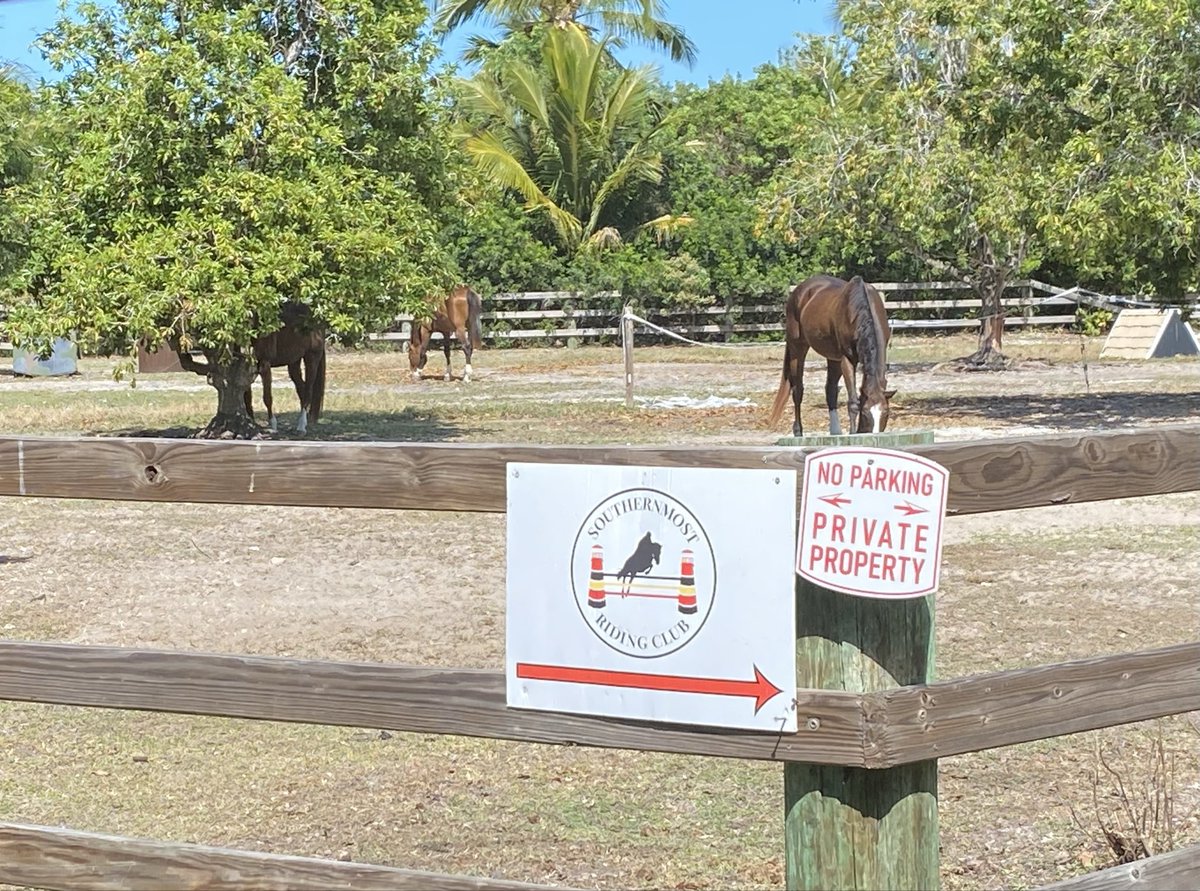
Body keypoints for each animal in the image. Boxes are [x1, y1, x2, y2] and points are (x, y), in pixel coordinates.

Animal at [244, 301, 327, 435]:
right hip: (294, 362)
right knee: (301, 389)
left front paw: (273, 425)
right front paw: (251, 423)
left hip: (312, 358)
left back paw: (301, 426)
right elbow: (247, 397)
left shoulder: (265, 366)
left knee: (308, 391)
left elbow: (267, 397)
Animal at [768, 274, 895, 437]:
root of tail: (799, 291)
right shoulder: (848, 360)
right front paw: (853, 434)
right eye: (866, 413)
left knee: (830, 390)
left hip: (833, 358)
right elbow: (853, 402)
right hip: (798, 349)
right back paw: (798, 431)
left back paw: (835, 432)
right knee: (797, 390)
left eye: (886, 412)